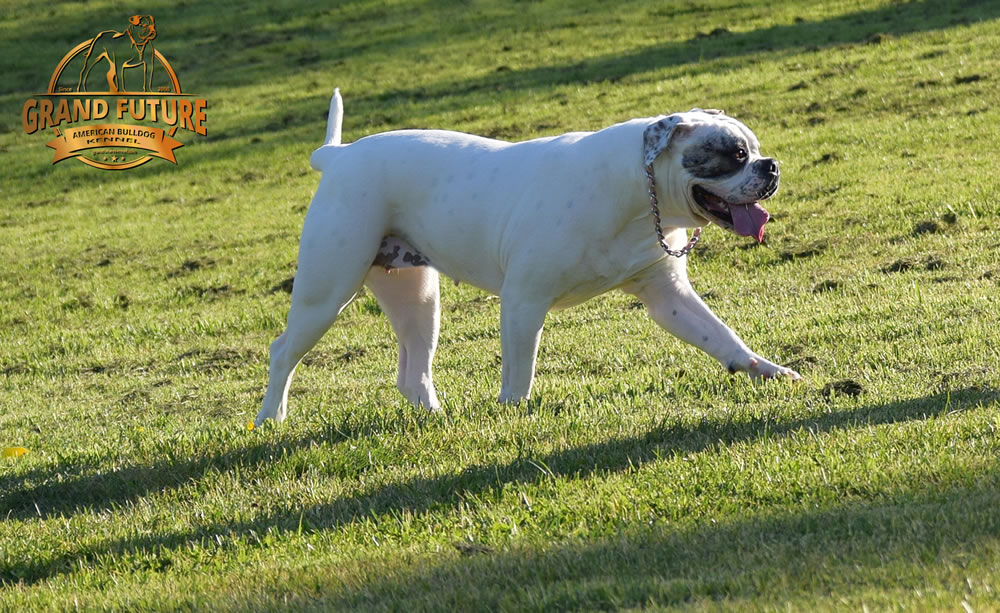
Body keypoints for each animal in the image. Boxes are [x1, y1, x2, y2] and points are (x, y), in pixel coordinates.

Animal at [256, 91, 796, 424]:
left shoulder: (669, 298)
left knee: (413, 371)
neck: (637, 193)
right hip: (327, 292)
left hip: (417, 301)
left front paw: (765, 369)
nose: (771, 166)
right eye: (734, 154)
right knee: (283, 351)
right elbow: (521, 370)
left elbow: (721, 335)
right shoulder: (523, 301)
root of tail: (339, 157)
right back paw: (270, 420)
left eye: (755, 150)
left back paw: (435, 417)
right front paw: (512, 413)